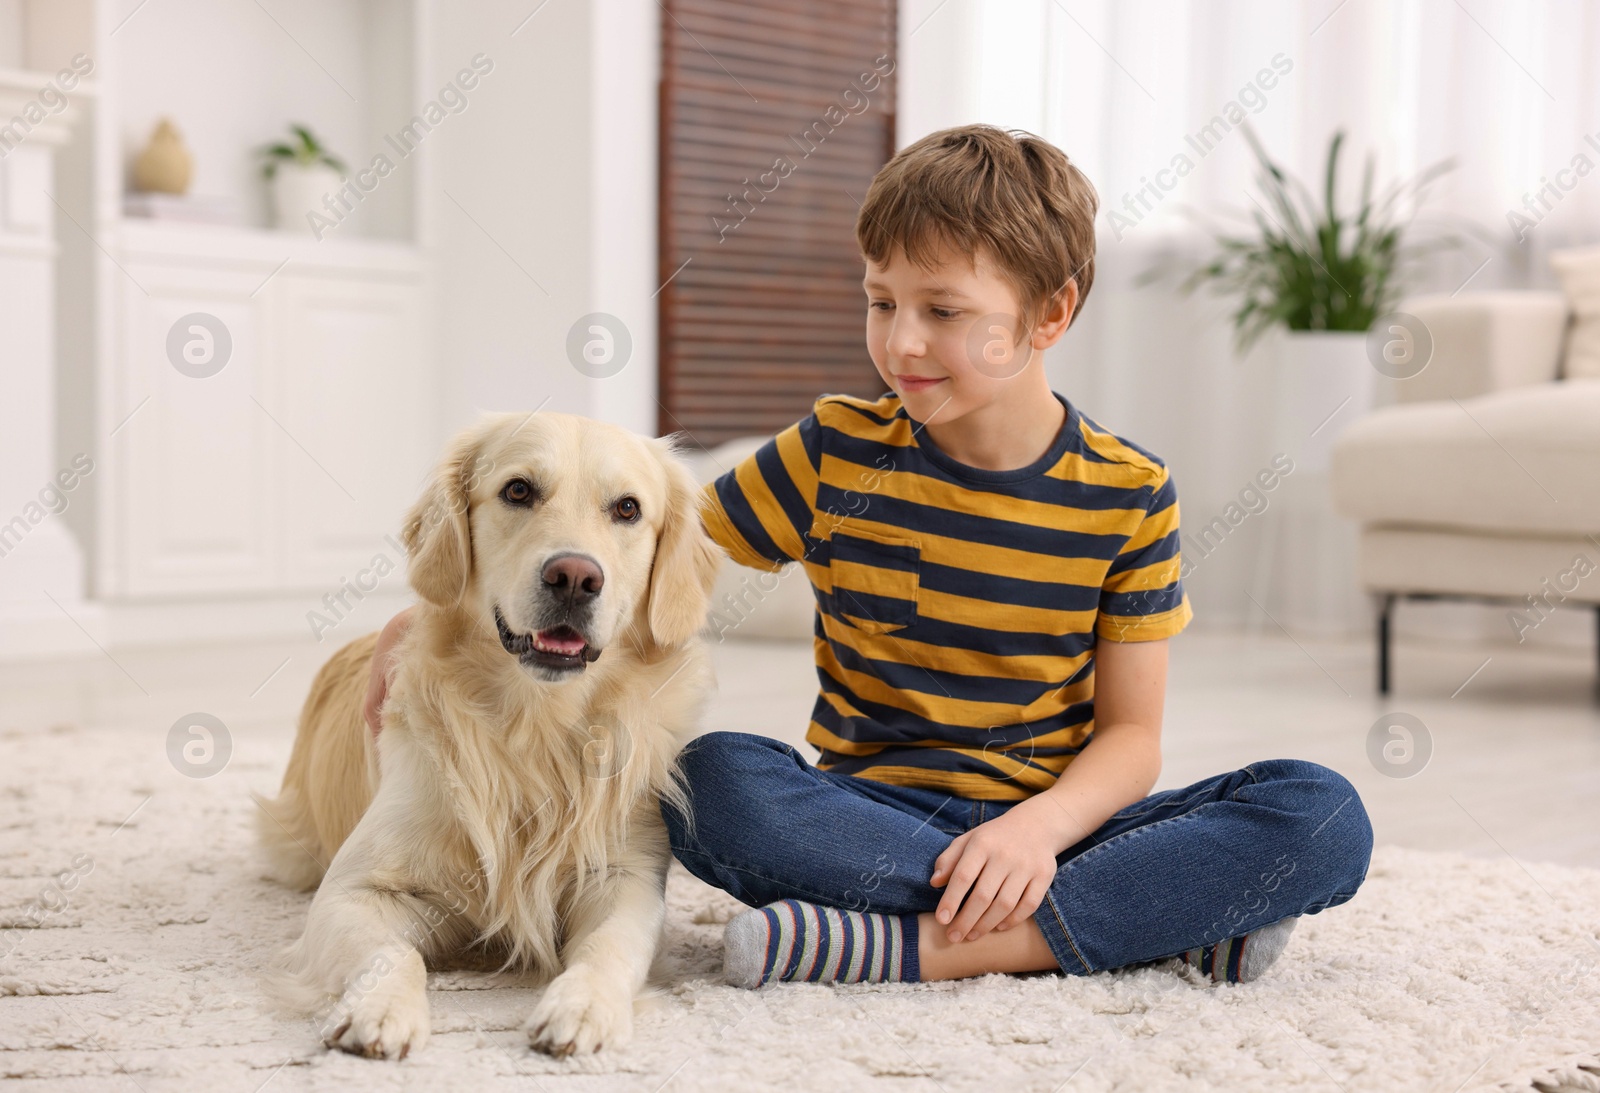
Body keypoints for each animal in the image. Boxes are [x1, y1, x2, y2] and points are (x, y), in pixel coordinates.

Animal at [254, 409, 720, 1062]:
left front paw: (584, 1007)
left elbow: (609, 948)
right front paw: (380, 1010)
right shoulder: (353, 889)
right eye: (518, 490)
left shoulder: (625, 877)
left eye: (628, 509)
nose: (574, 577)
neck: (535, 725)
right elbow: (390, 953)